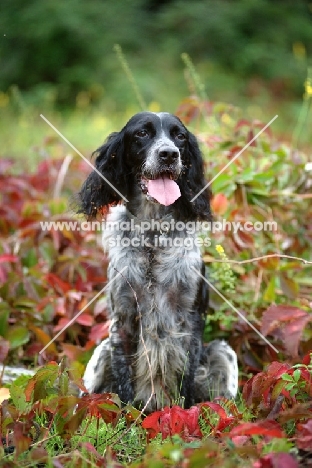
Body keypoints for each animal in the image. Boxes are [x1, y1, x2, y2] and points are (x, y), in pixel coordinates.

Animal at [79, 111, 238, 412]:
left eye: (180, 136)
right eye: (142, 133)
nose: (169, 154)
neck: (153, 234)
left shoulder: (190, 320)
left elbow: (185, 378)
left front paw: (183, 415)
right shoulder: (123, 319)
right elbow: (124, 382)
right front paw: (127, 417)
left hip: (223, 351)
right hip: (100, 354)